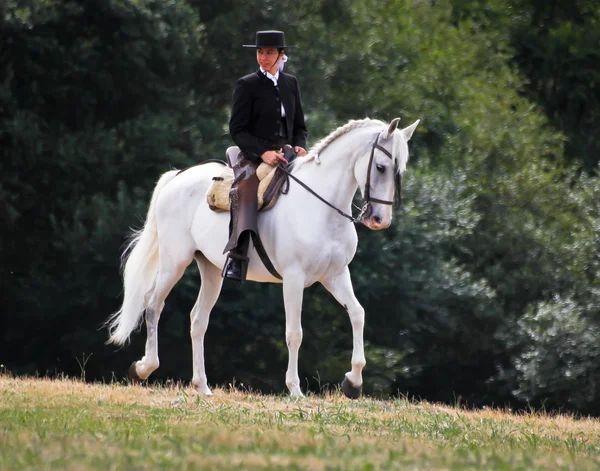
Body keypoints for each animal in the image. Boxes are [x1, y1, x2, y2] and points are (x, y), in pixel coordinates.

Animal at [106, 118, 418, 398]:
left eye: (400, 170)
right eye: (380, 167)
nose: (380, 220)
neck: (321, 207)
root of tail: (178, 176)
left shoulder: (336, 276)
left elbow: (357, 314)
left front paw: (353, 382)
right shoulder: (293, 279)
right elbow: (294, 333)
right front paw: (295, 389)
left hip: (210, 270)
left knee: (198, 320)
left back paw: (202, 386)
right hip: (175, 262)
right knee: (153, 305)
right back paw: (144, 368)